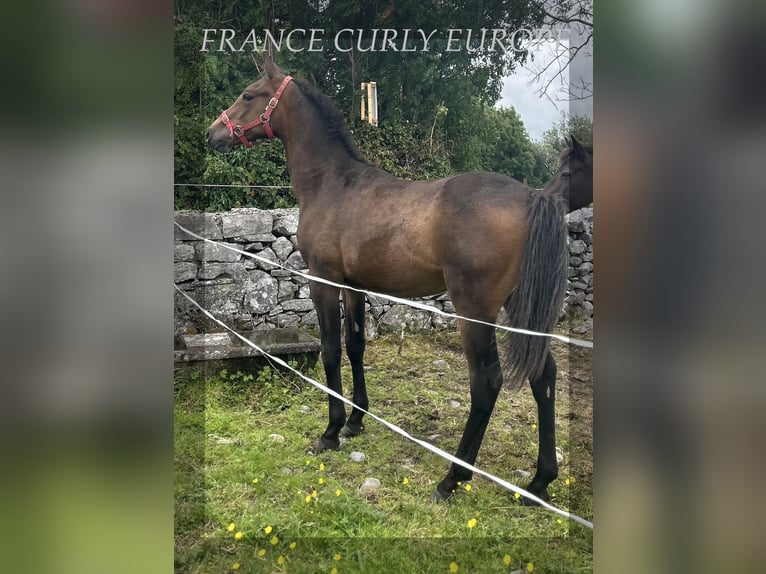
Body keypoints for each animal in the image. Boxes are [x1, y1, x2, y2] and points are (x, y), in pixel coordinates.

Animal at [207, 59, 584, 504]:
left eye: (249, 95)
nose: (213, 133)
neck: (334, 184)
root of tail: (533, 198)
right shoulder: (354, 286)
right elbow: (356, 347)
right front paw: (356, 422)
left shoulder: (323, 280)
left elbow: (331, 350)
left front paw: (331, 432)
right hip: (518, 307)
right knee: (544, 376)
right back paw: (539, 482)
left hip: (475, 310)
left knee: (487, 380)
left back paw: (453, 478)